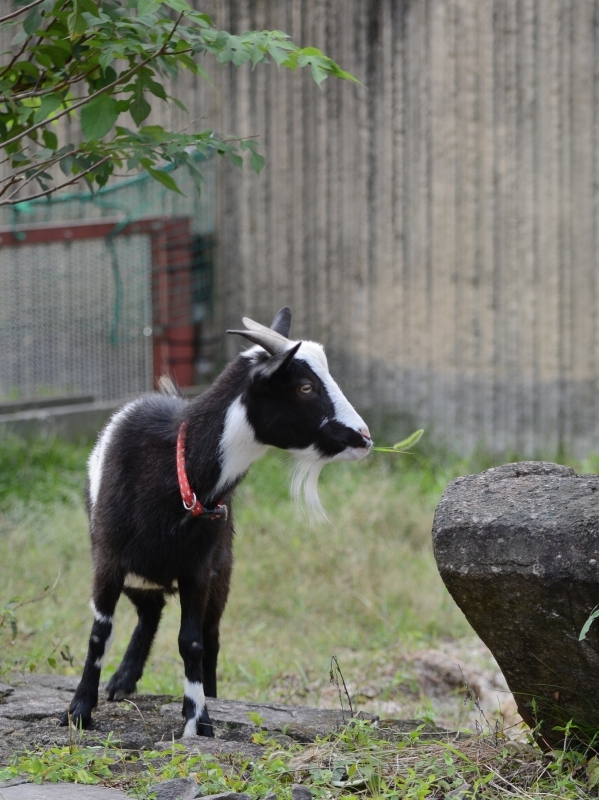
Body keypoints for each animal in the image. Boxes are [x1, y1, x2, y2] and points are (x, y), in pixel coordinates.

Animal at [61, 306, 370, 736]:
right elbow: (98, 635)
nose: (364, 437)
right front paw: (78, 711)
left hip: (220, 570)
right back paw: (122, 681)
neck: (177, 472)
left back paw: (192, 691)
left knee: (203, 632)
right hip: (137, 572)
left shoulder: (199, 567)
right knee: (149, 611)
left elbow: (191, 641)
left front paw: (198, 718)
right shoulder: (108, 560)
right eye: (306, 387)